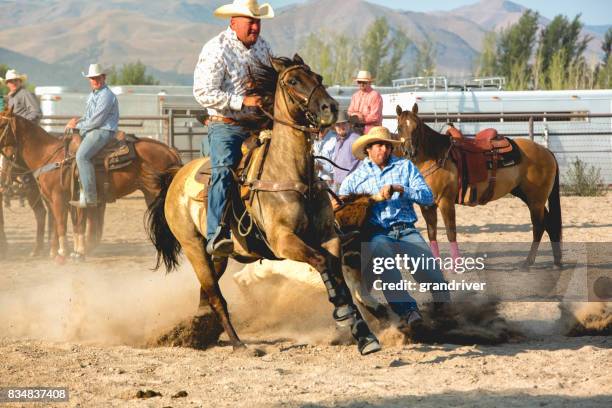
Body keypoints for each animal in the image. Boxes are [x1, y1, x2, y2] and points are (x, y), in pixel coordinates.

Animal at [0, 107, 182, 262]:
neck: (49, 156)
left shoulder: (59, 198)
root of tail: (170, 150)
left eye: (2, 124)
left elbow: (61, 224)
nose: (4, 180)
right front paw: (69, 252)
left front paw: (63, 253)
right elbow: (64, 224)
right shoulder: (55, 200)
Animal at [146, 55, 380, 356]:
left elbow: (335, 269)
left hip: (218, 257)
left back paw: (198, 333)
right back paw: (238, 344)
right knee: (216, 297)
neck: (290, 174)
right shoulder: (283, 241)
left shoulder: (329, 236)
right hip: (193, 247)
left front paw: (362, 332)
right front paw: (342, 315)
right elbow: (320, 262)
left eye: (318, 77)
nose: (330, 108)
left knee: (206, 295)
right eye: (293, 81)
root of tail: (176, 176)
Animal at [394, 103, 560, 268]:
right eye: (400, 127)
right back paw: (556, 263)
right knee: (550, 224)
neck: (435, 156)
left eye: (416, 127)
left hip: (536, 200)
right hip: (528, 196)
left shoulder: (446, 202)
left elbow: (451, 233)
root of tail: (546, 151)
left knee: (539, 227)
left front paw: (457, 267)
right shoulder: (427, 206)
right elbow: (431, 235)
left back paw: (528, 262)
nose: (409, 152)